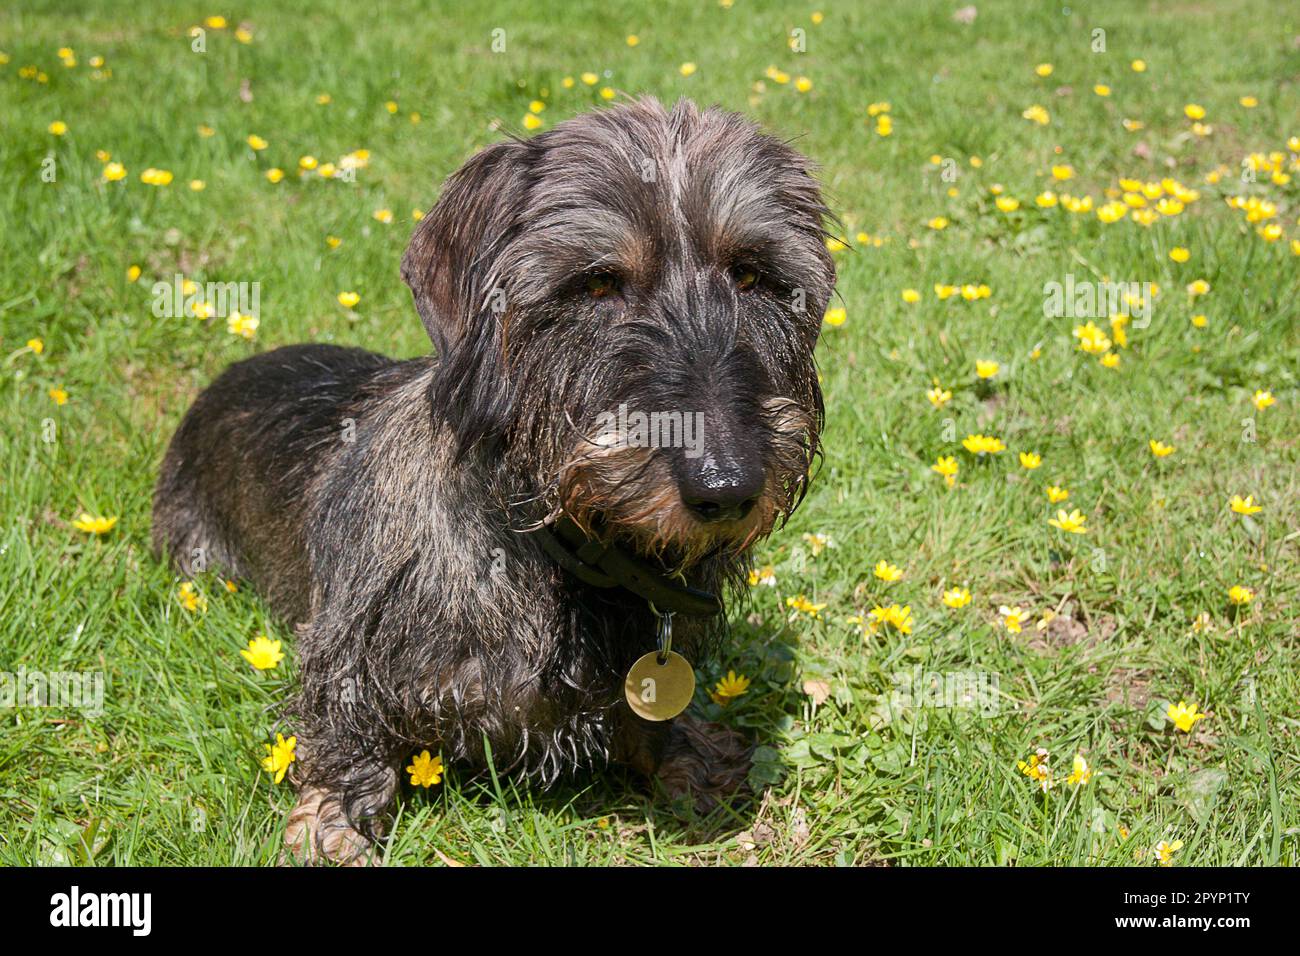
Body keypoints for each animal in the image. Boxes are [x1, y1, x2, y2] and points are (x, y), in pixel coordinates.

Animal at [152, 98, 837, 868]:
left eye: (752, 275)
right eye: (596, 283)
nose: (726, 487)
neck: (559, 552)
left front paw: (696, 758)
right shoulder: (348, 650)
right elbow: (346, 730)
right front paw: (332, 823)